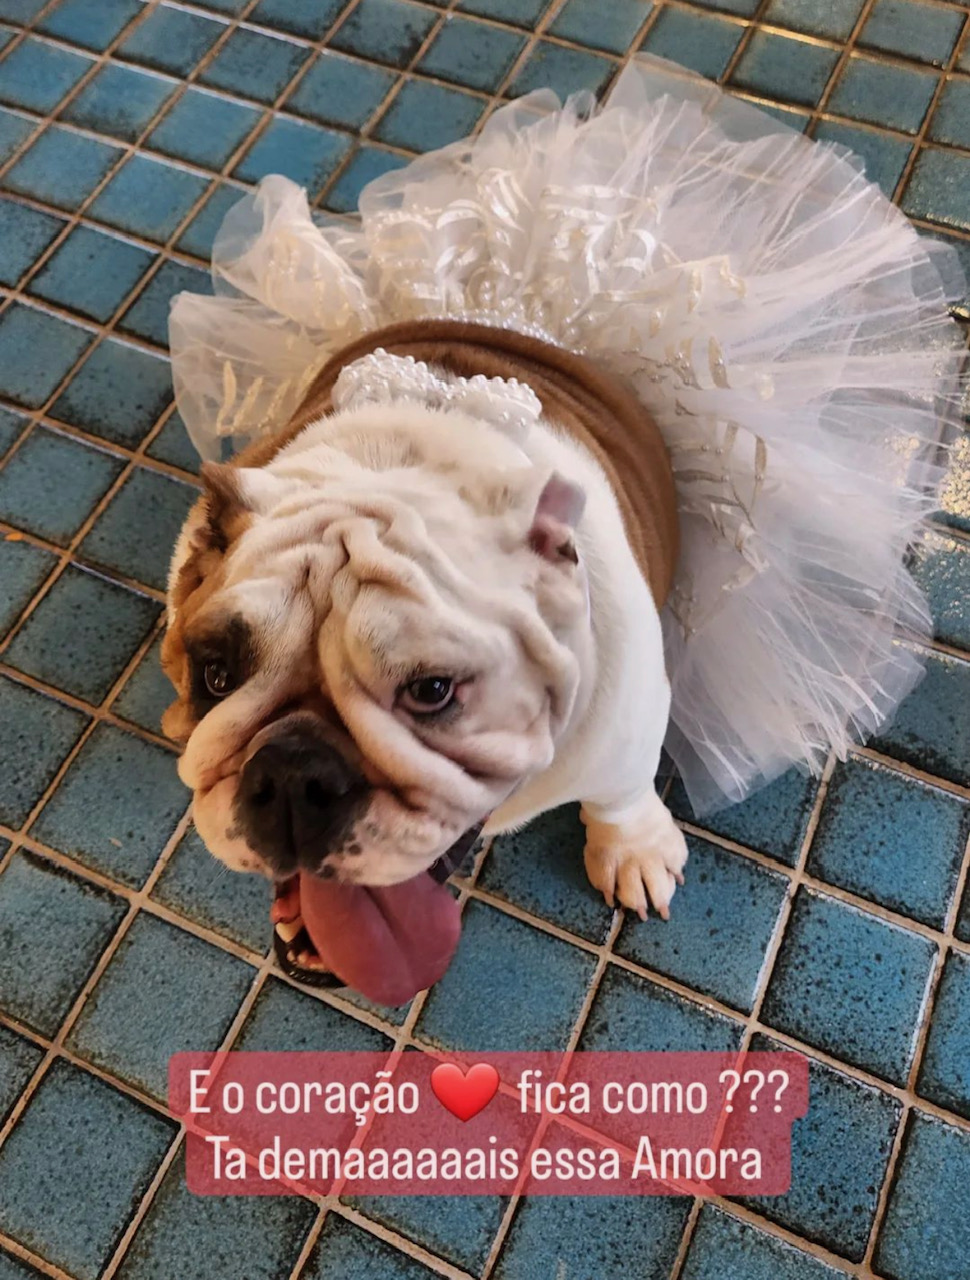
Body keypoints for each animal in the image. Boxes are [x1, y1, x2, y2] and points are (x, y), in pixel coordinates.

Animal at [163, 319, 688, 999]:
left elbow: (621, 790)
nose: (290, 774)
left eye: (432, 690)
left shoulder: (627, 723)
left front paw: (634, 851)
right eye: (216, 676)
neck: (389, 466)